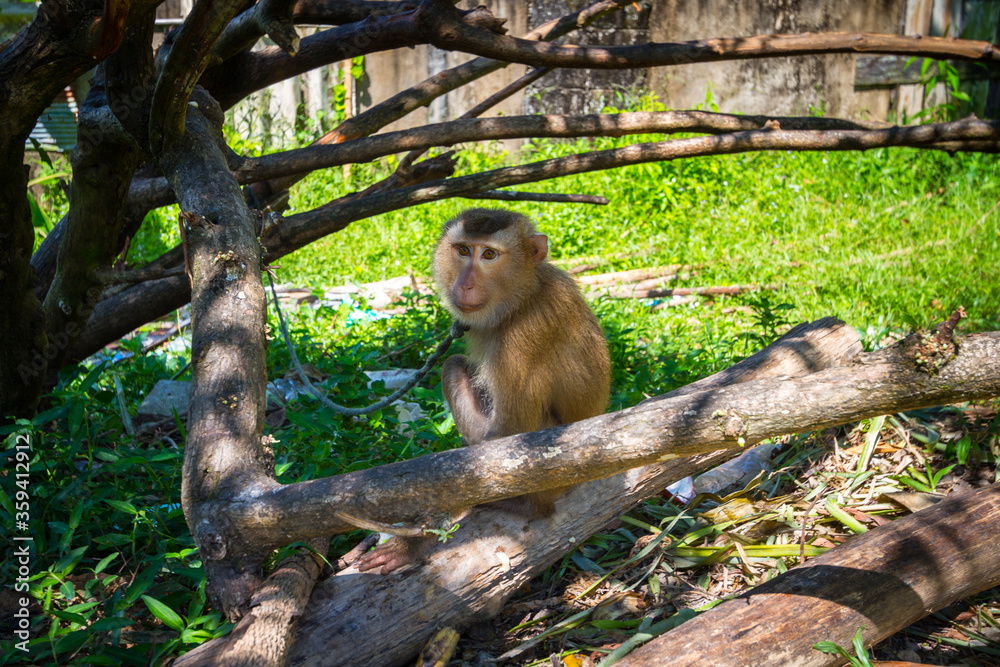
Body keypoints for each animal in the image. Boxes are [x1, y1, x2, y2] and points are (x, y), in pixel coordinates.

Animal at [356, 209, 612, 576]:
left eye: (489, 255)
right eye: (464, 250)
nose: (465, 284)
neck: (524, 294)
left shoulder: (523, 338)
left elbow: (509, 437)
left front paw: (415, 541)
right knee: (453, 367)